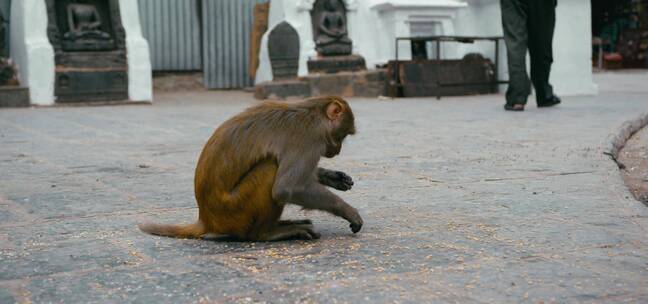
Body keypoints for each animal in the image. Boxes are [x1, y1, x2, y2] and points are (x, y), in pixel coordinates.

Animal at [139, 96, 362, 241]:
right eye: (343, 136)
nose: (338, 150)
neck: (313, 113)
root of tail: (206, 219)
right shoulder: (309, 140)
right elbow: (288, 187)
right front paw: (349, 211)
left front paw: (333, 177)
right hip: (235, 211)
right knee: (269, 168)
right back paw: (267, 234)